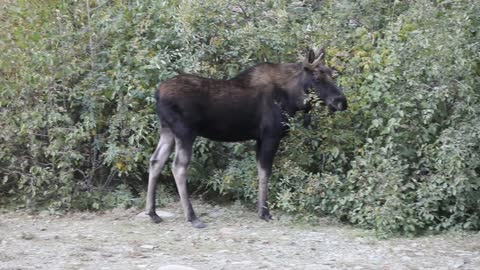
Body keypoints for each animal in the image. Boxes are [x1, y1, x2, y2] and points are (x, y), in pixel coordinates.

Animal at [144, 48, 346, 228]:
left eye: (332, 74)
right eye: (317, 77)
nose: (341, 102)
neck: (292, 99)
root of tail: (157, 94)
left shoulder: (260, 138)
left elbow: (260, 171)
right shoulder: (271, 135)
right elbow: (265, 172)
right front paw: (264, 212)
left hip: (167, 130)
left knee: (156, 161)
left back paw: (153, 213)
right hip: (185, 131)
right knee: (178, 167)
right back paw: (192, 217)